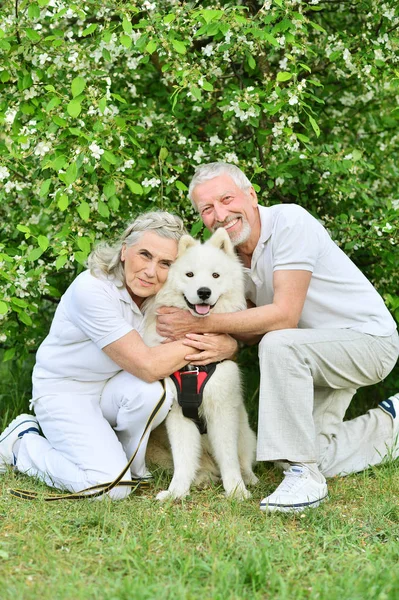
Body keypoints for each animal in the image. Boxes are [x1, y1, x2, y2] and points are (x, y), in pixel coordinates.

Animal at [145, 227, 260, 500]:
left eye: (216, 275)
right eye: (189, 274)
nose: (204, 292)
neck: (193, 368)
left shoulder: (223, 412)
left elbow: (229, 459)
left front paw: (236, 491)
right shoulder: (177, 415)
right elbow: (183, 459)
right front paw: (176, 492)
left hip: (246, 432)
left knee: (244, 460)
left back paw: (248, 479)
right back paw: (201, 479)